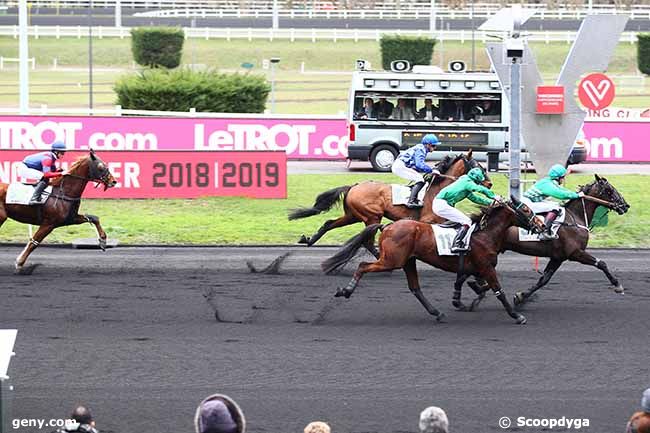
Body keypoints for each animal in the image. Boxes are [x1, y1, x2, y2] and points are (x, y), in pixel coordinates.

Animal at [286, 150, 488, 251]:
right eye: (479, 166)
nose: (490, 183)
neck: (439, 188)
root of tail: (354, 186)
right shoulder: (428, 220)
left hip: (353, 215)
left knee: (329, 223)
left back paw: (309, 240)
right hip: (371, 216)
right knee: (367, 241)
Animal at [320, 196, 540, 324]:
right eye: (526, 210)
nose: (539, 224)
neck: (484, 234)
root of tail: (386, 226)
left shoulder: (474, 267)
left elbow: (471, 283)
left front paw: (464, 300)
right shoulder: (486, 267)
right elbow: (498, 291)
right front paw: (517, 315)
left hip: (408, 261)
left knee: (415, 288)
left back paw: (437, 313)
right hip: (392, 261)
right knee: (363, 266)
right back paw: (346, 290)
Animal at [464, 174, 624, 306]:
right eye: (610, 190)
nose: (625, 205)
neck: (574, 218)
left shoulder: (558, 257)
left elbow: (544, 279)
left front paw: (521, 297)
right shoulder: (575, 253)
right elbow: (601, 263)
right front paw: (617, 285)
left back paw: (478, 290)